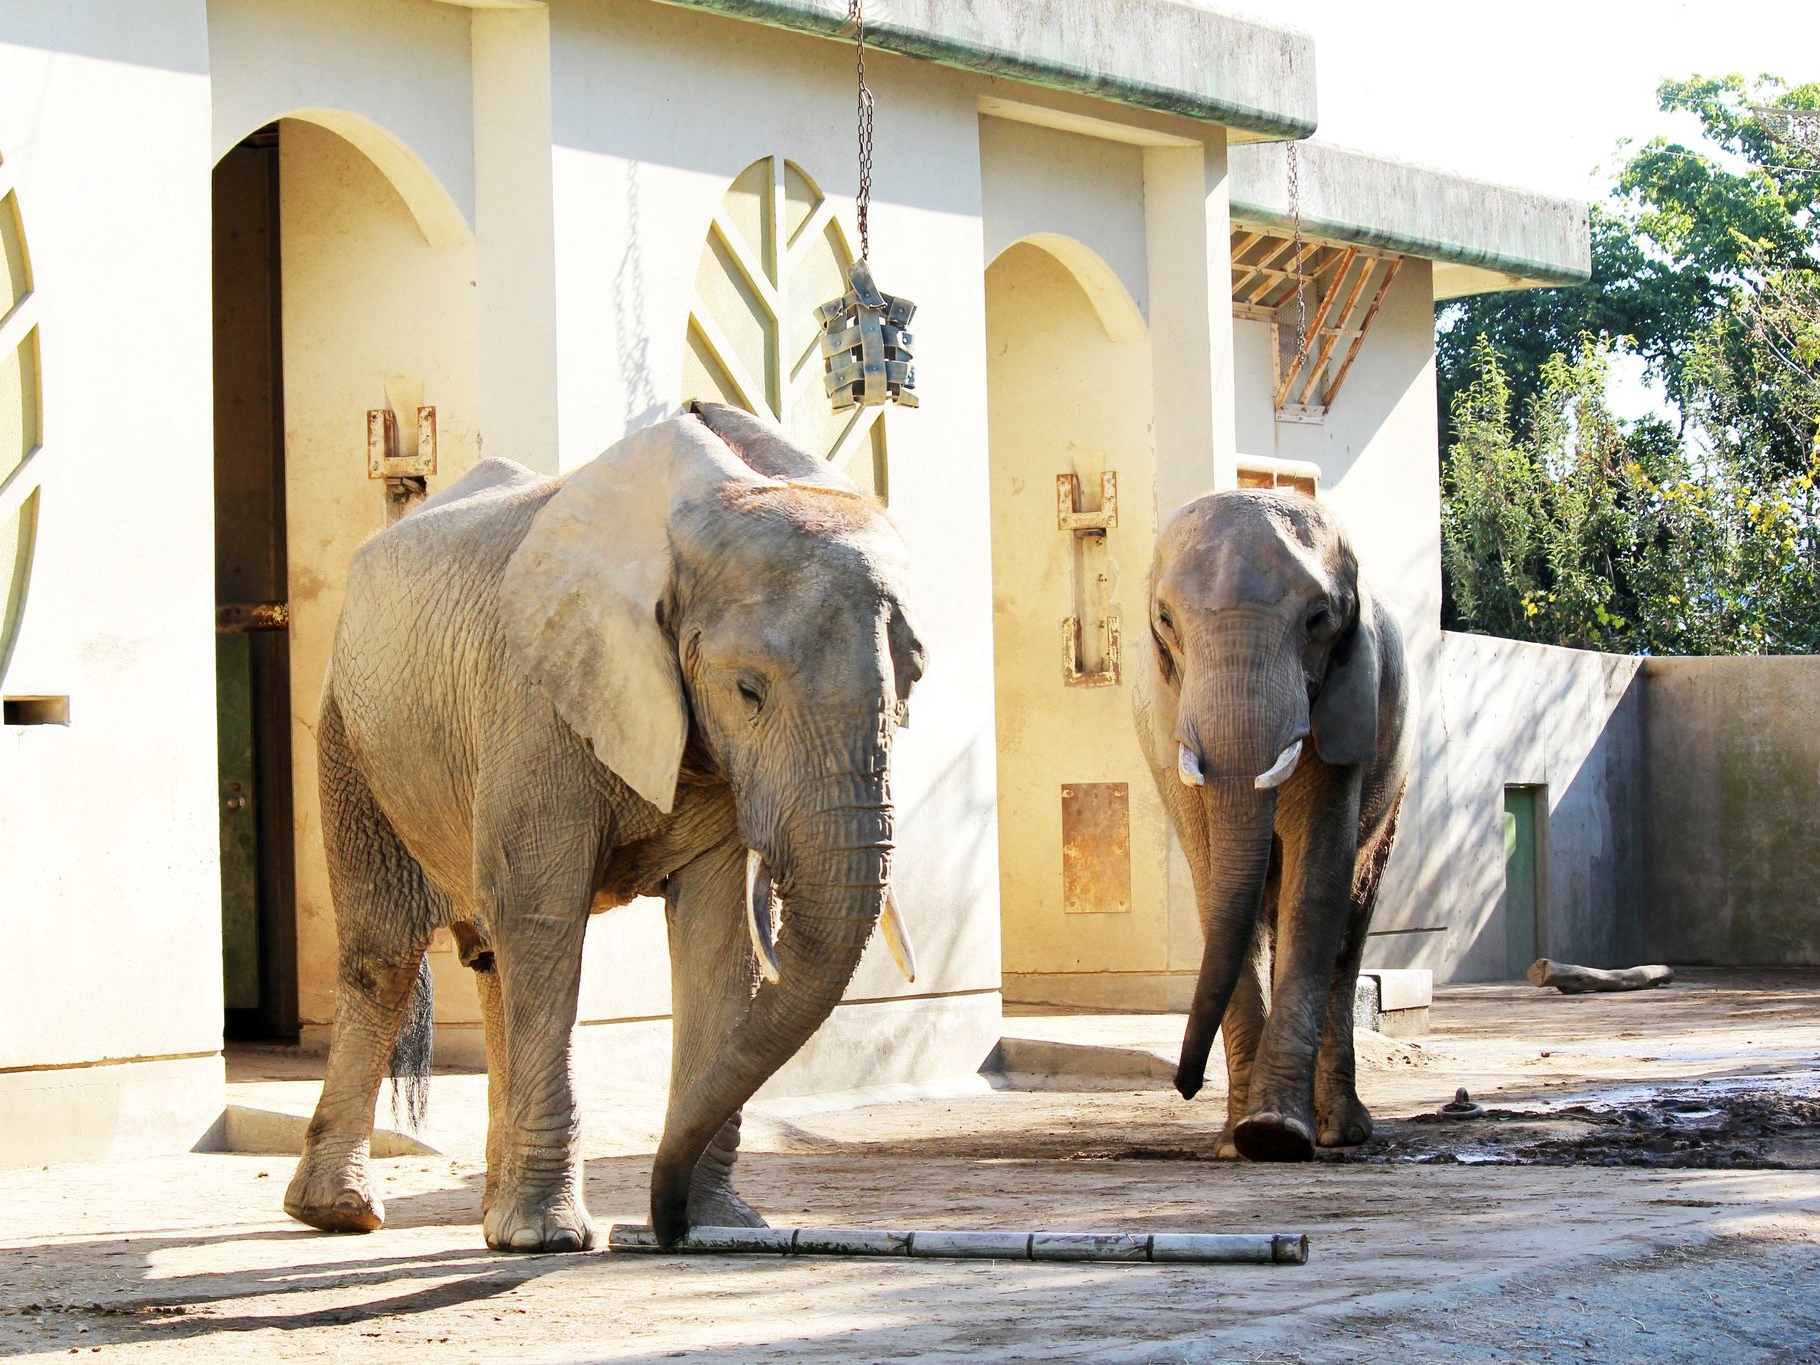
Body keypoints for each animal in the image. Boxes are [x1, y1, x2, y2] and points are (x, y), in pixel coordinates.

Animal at [293, 404, 939, 1252]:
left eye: (914, 679)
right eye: (748, 690)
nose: (662, 1226)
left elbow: (716, 934)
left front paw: (716, 1223)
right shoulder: (536, 699)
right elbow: (543, 915)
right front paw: (549, 1239)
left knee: (491, 958)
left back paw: (484, 1215)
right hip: (348, 733)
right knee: (387, 953)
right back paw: (342, 1212)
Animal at [1128, 491, 1412, 1164]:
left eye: (1319, 619)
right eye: (1165, 619)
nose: (1184, 1084)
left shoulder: (1349, 710)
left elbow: (1318, 886)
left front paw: (1276, 1133)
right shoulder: (1168, 730)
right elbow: (1216, 886)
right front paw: (1238, 1142)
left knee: (1350, 924)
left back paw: (1340, 1131)